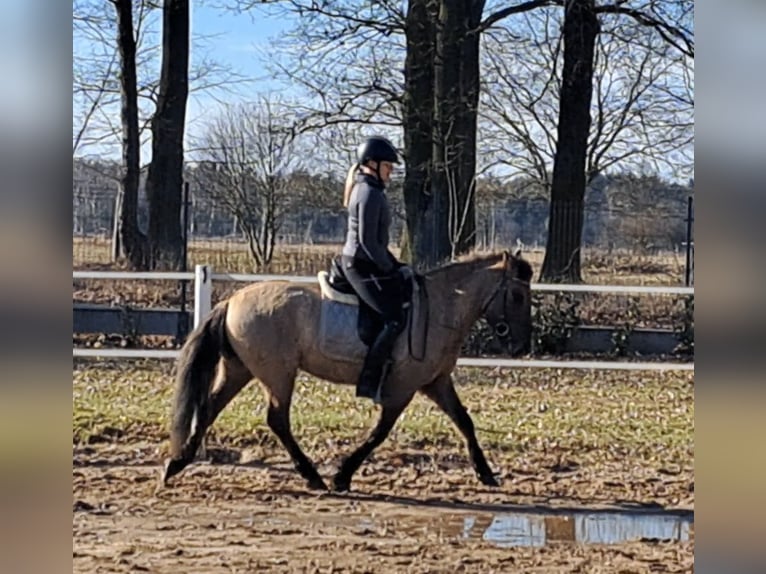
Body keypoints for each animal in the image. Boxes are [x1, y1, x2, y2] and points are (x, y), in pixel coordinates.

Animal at [161, 249, 534, 492]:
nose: (522, 346)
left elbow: (465, 421)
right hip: (278, 374)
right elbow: (379, 433)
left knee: (209, 408)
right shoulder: (403, 388)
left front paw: (486, 473)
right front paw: (343, 475)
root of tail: (231, 301)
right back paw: (312, 476)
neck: (441, 307)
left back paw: (177, 463)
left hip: (240, 369)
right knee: (277, 420)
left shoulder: (436, 382)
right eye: (517, 296)